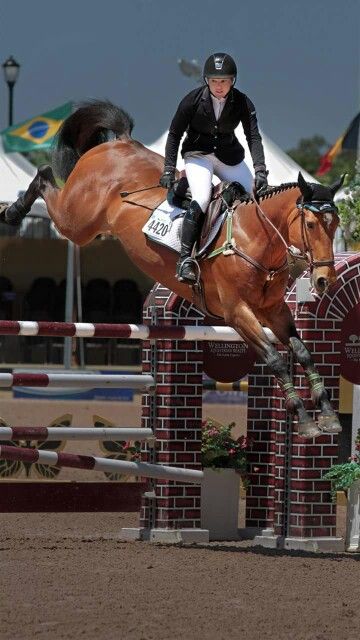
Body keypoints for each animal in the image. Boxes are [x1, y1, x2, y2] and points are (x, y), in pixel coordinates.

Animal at [1, 100, 346, 440]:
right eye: (311, 224)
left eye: (336, 225)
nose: (323, 280)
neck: (254, 237)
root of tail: (120, 143)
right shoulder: (237, 312)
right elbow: (275, 359)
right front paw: (305, 421)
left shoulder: (273, 309)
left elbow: (303, 352)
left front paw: (328, 417)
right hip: (77, 222)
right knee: (46, 177)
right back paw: (13, 211)